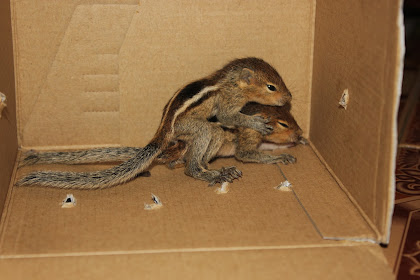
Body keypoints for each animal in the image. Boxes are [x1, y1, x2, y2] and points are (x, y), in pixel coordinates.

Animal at [16, 57, 292, 189]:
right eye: (271, 87)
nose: (289, 97)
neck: (232, 82)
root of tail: (163, 133)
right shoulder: (228, 102)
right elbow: (228, 117)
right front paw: (257, 122)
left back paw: (213, 168)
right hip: (194, 128)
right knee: (200, 146)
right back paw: (207, 172)